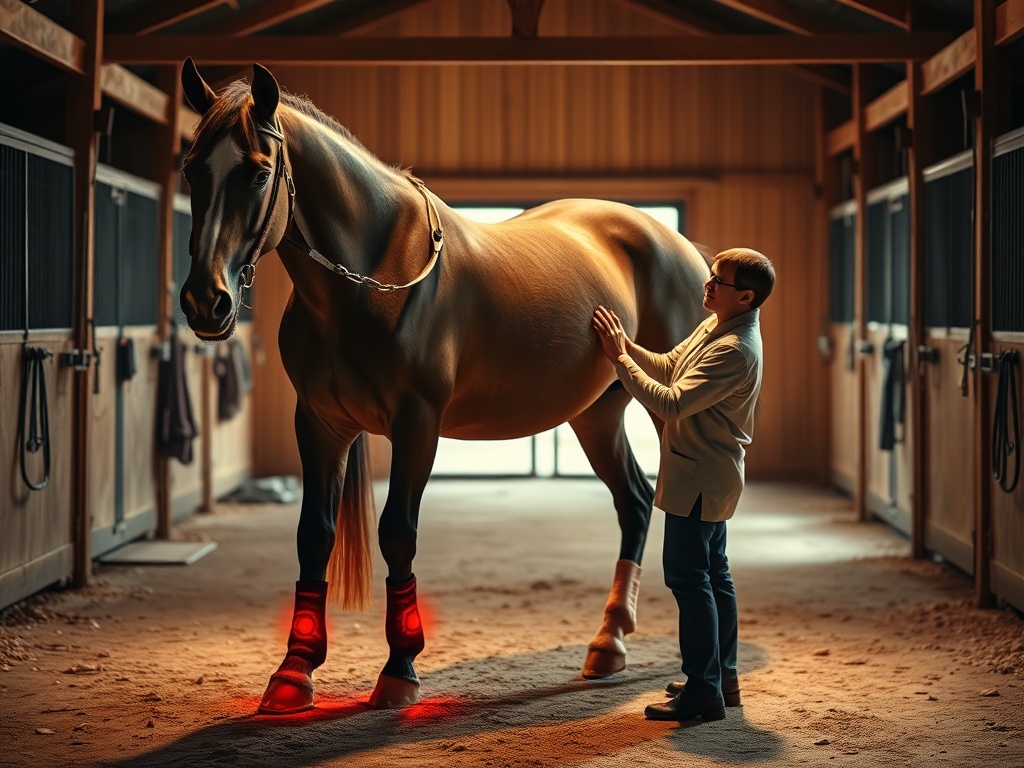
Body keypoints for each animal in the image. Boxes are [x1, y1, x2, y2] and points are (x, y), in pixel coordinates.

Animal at [178, 58, 712, 714]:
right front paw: (294, 671)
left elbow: (397, 533)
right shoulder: (321, 423)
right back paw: (608, 643)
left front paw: (400, 668)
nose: (205, 303)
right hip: (598, 414)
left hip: (670, 408)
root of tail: (682, 250)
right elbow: (313, 535)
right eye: (191, 169)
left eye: (257, 173)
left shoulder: (417, 423)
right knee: (634, 501)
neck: (374, 274)